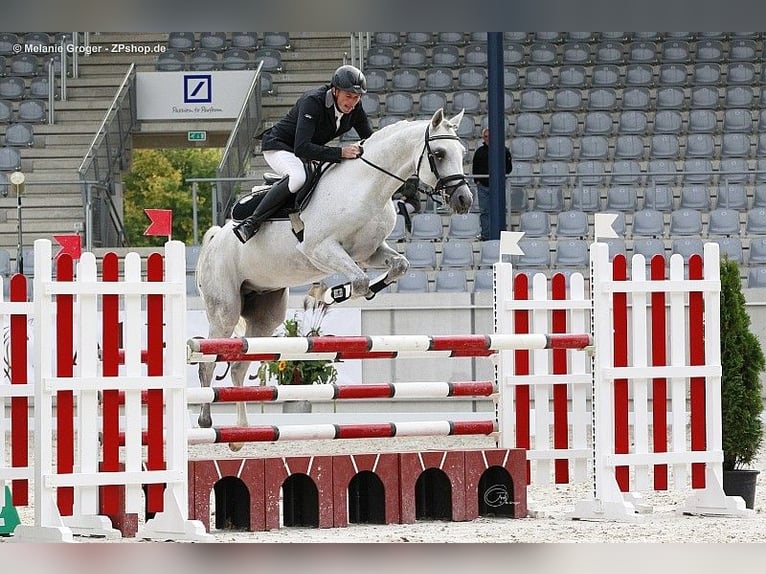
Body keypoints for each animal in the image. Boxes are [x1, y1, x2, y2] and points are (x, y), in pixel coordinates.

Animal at [194, 108, 473, 447]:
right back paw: (206, 421)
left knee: (238, 365)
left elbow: (399, 266)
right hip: (224, 310)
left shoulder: (369, 252)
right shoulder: (320, 249)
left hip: (265, 315)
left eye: (463, 153)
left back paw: (240, 435)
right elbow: (359, 280)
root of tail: (215, 239)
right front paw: (335, 293)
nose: (464, 200)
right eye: (440, 153)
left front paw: (346, 292)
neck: (368, 186)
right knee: (209, 362)